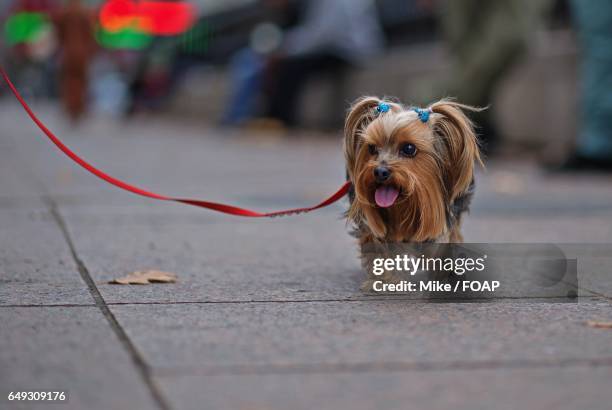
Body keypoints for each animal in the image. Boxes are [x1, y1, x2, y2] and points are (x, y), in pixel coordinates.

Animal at [344, 97, 482, 288]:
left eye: (409, 149)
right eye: (371, 148)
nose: (380, 172)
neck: (404, 207)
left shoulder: (445, 223)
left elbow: (443, 247)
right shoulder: (372, 225)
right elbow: (379, 249)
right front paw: (385, 281)